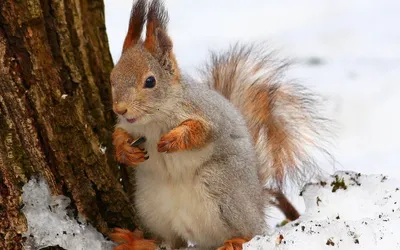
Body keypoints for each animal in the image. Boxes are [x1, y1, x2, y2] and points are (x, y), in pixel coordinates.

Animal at [108, 0, 328, 250]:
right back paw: (137, 242)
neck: (152, 121)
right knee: (169, 242)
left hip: (222, 188)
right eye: (112, 77)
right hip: (150, 205)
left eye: (150, 81)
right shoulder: (129, 126)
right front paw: (124, 150)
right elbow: (119, 134)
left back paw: (236, 241)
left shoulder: (210, 115)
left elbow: (202, 132)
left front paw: (175, 139)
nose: (120, 109)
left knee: (250, 232)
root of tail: (258, 204)